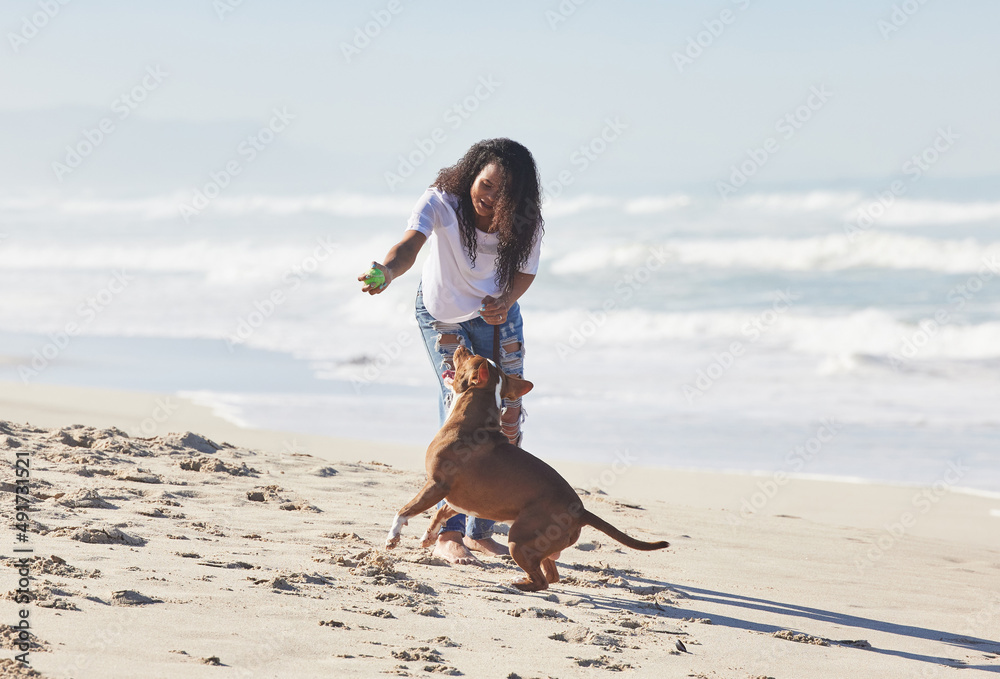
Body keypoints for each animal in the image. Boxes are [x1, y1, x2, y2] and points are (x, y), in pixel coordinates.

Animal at [386, 346, 668, 588]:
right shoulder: (457, 497)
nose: (461, 345)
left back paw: (516, 584)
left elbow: (405, 510)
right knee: (551, 575)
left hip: (518, 540)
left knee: (543, 580)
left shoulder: (436, 484)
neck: (470, 420)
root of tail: (581, 510)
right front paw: (428, 536)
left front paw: (393, 537)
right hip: (538, 545)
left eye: (471, 356)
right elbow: (441, 513)